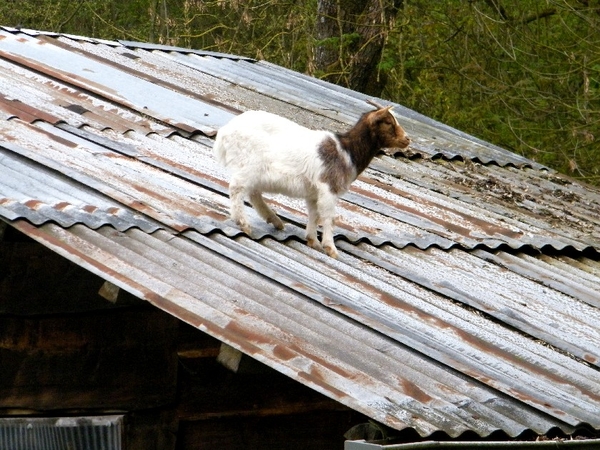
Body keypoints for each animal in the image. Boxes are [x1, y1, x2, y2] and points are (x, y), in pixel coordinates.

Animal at [212, 101, 412, 256]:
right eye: (388, 122)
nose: (407, 139)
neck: (346, 151)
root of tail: (225, 132)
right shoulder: (329, 186)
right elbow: (329, 216)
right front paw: (331, 248)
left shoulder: (314, 192)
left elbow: (314, 213)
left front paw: (313, 241)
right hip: (250, 165)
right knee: (237, 188)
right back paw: (244, 224)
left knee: (253, 194)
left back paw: (275, 221)